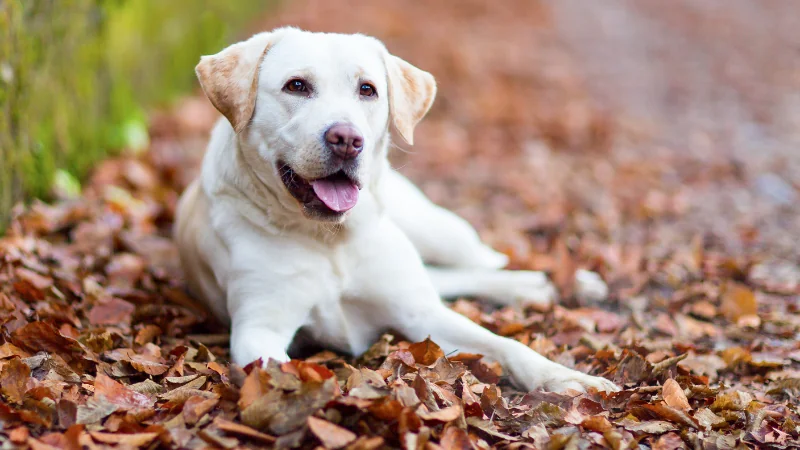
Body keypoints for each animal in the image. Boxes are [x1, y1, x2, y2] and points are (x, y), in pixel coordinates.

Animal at [177, 27, 620, 394]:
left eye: (367, 90)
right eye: (296, 86)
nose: (346, 139)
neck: (331, 240)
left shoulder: (420, 314)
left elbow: (506, 344)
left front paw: (566, 378)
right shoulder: (259, 329)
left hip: (438, 231)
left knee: (485, 261)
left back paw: (564, 281)